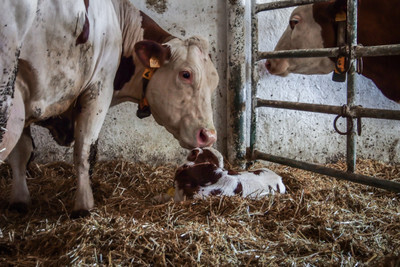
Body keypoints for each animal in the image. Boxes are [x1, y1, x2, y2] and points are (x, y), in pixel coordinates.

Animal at [0, 0, 219, 218]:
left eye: (215, 83)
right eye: (186, 74)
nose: (209, 136)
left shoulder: (24, 96)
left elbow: (21, 152)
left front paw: (19, 200)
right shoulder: (99, 87)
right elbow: (85, 150)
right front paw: (84, 205)